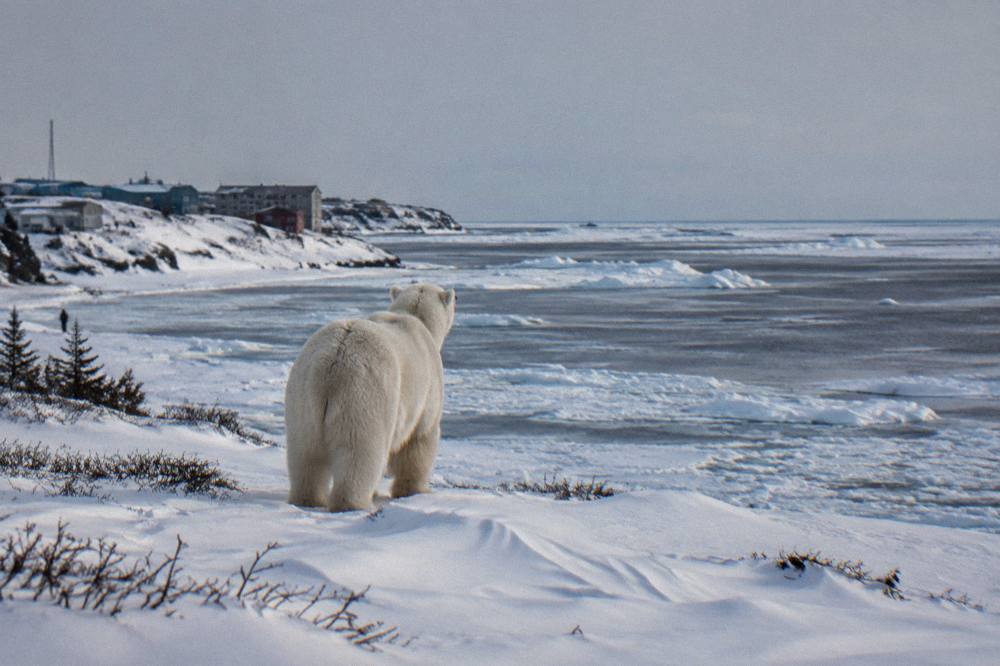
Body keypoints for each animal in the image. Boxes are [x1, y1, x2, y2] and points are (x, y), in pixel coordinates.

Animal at [284, 282, 456, 512]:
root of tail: (332, 362)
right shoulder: (427, 391)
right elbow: (418, 441)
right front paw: (415, 490)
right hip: (363, 396)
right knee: (360, 453)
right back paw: (353, 504)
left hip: (302, 396)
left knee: (304, 454)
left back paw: (308, 499)